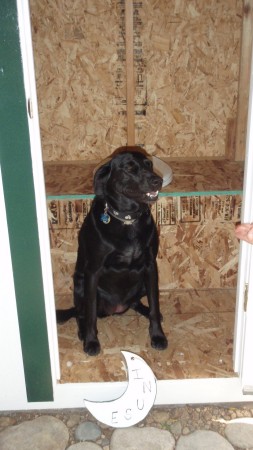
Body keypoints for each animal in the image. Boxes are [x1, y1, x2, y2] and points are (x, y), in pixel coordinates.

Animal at [57, 147, 168, 356]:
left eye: (149, 164)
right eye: (129, 168)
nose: (157, 181)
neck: (128, 219)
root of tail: (115, 309)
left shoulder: (151, 267)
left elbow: (155, 304)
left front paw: (158, 335)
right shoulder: (93, 271)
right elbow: (90, 315)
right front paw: (91, 341)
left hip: (142, 284)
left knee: (137, 303)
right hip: (80, 283)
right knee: (80, 313)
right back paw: (82, 332)